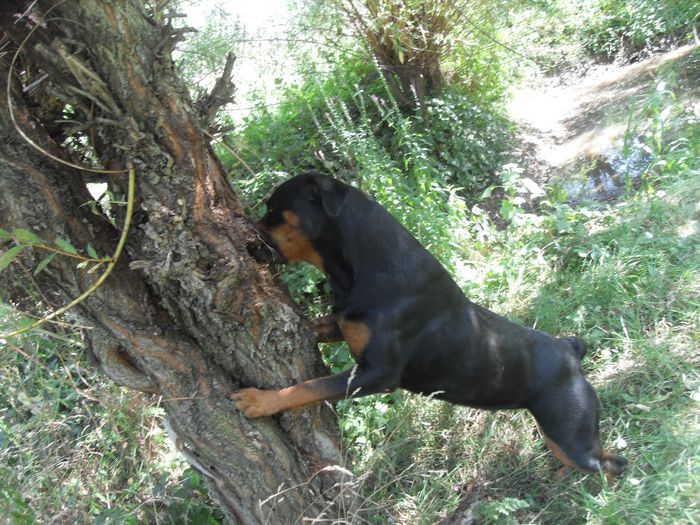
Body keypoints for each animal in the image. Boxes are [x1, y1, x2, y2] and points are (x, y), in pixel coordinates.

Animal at [232, 174, 628, 476]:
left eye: (272, 211)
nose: (247, 232)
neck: (363, 267)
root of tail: (570, 353)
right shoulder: (342, 326)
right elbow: (311, 329)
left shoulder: (376, 375)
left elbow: (309, 387)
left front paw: (259, 400)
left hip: (569, 433)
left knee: (611, 464)